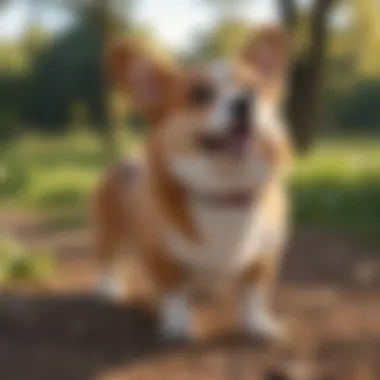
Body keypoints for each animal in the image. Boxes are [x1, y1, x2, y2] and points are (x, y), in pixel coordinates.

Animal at [92, 26, 294, 342]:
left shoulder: (263, 257)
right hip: (108, 231)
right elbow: (174, 293)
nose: (245, 102)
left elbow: (253, 294)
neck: (223, 192)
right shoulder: (162, 256)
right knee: (108, 259)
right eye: (199, 94)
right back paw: (108, 290)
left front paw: (258, 326)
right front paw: (177, 328)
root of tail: (125, 159)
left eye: (254, 88)